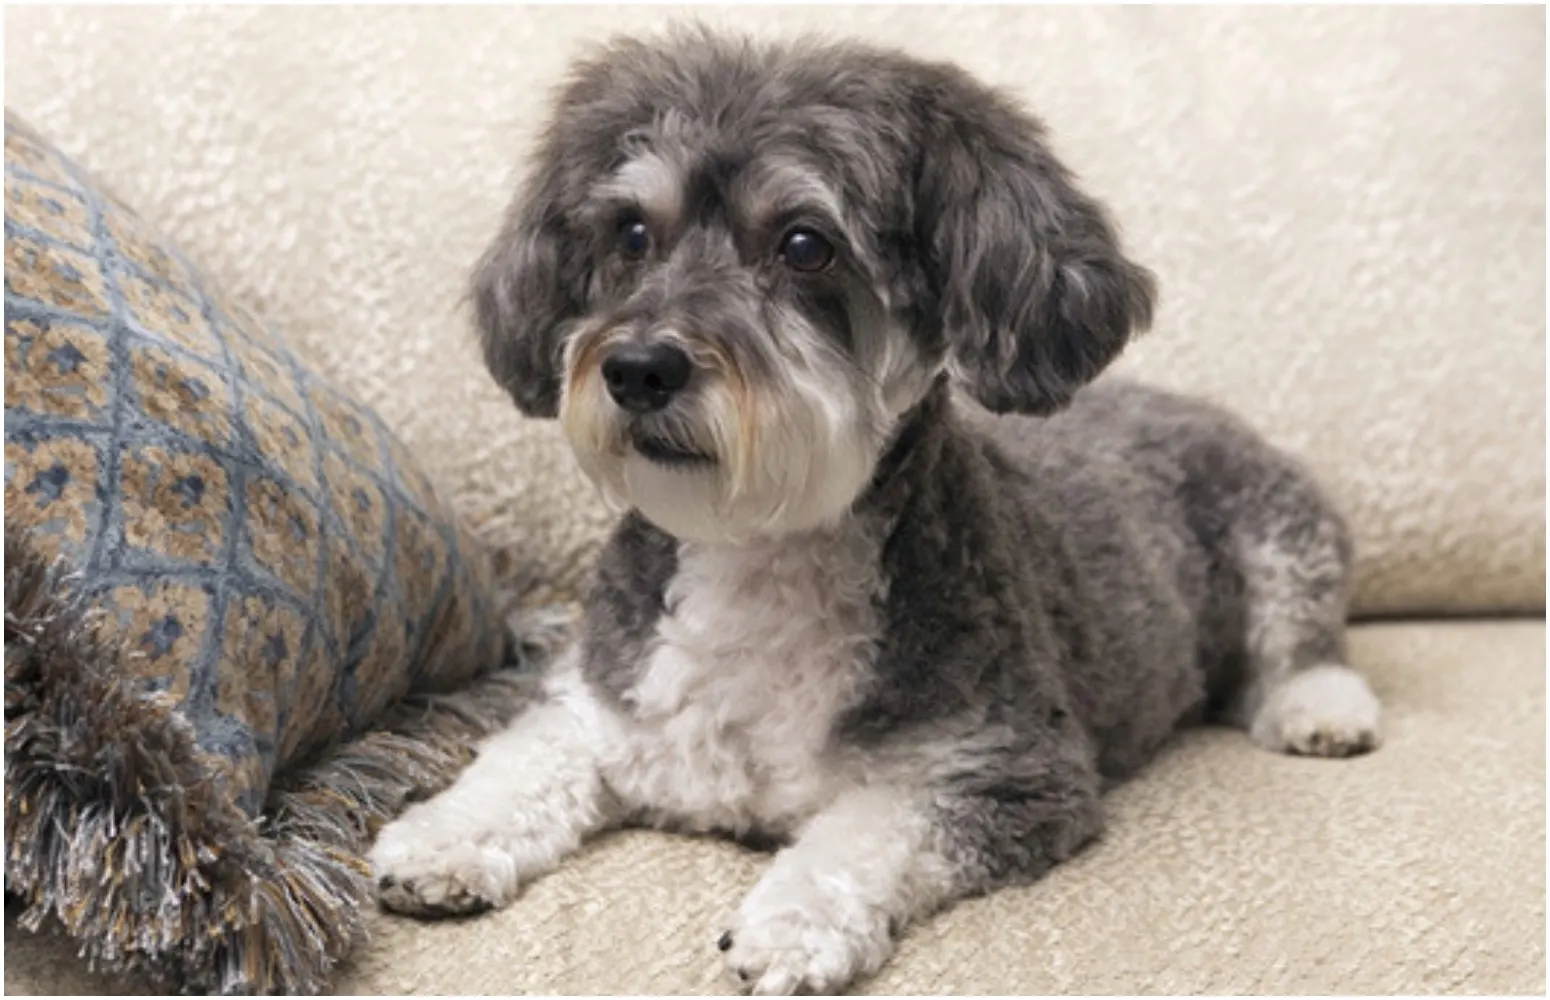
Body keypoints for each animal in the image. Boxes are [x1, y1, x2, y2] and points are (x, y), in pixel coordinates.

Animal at [372, 27, 1382, 992]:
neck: (757, 553)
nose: (638, 368)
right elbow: (523, 758)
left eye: (804, 244)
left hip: (1281, 536)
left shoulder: (1005, 770)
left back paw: (1319, 710)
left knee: (1301, 644)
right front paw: (441, 839)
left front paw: (793, 923)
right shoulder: (601, 704)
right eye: (630, 233)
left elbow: (867, 831)